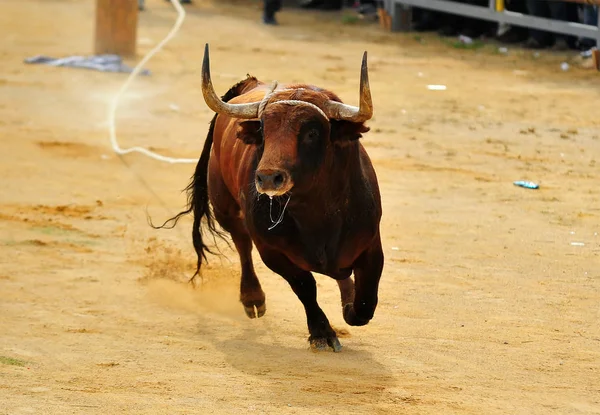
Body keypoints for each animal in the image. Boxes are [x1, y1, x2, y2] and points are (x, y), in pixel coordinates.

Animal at [159, 44, 384, 352]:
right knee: (242, 244)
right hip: (225, 208)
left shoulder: (372, 245)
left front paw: (347, 307)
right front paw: (322, 332)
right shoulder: (271, 251)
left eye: (312, 132)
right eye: (264, 129)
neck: (318, 214)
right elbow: (305, 286)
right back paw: (252, 298)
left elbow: (363, 304)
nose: (267, 177)